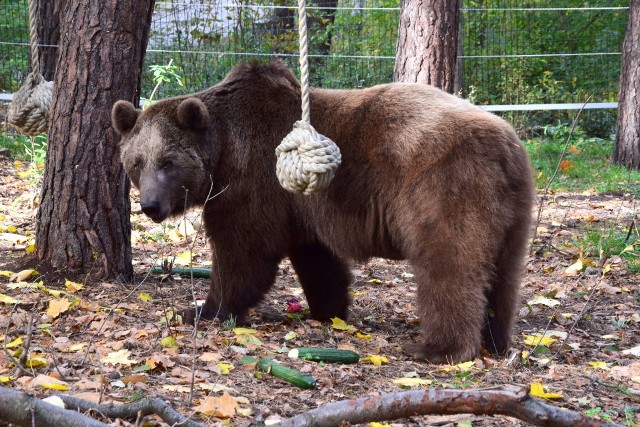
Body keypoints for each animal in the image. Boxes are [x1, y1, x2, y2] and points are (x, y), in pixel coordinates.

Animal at [112, 61, 532, 364]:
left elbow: (243, 252)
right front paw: (328, 309)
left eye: (167, 162)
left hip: (444, 185)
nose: (150, 205)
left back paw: (437, 348)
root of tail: (506, 144)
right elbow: (317, 259)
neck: (225, 150)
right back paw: (496, 340)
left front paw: (203, 309)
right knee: (504, 274)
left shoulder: (252, 183)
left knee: (449, 265)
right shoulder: (299, 205)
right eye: (136, 162)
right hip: (512, 209)